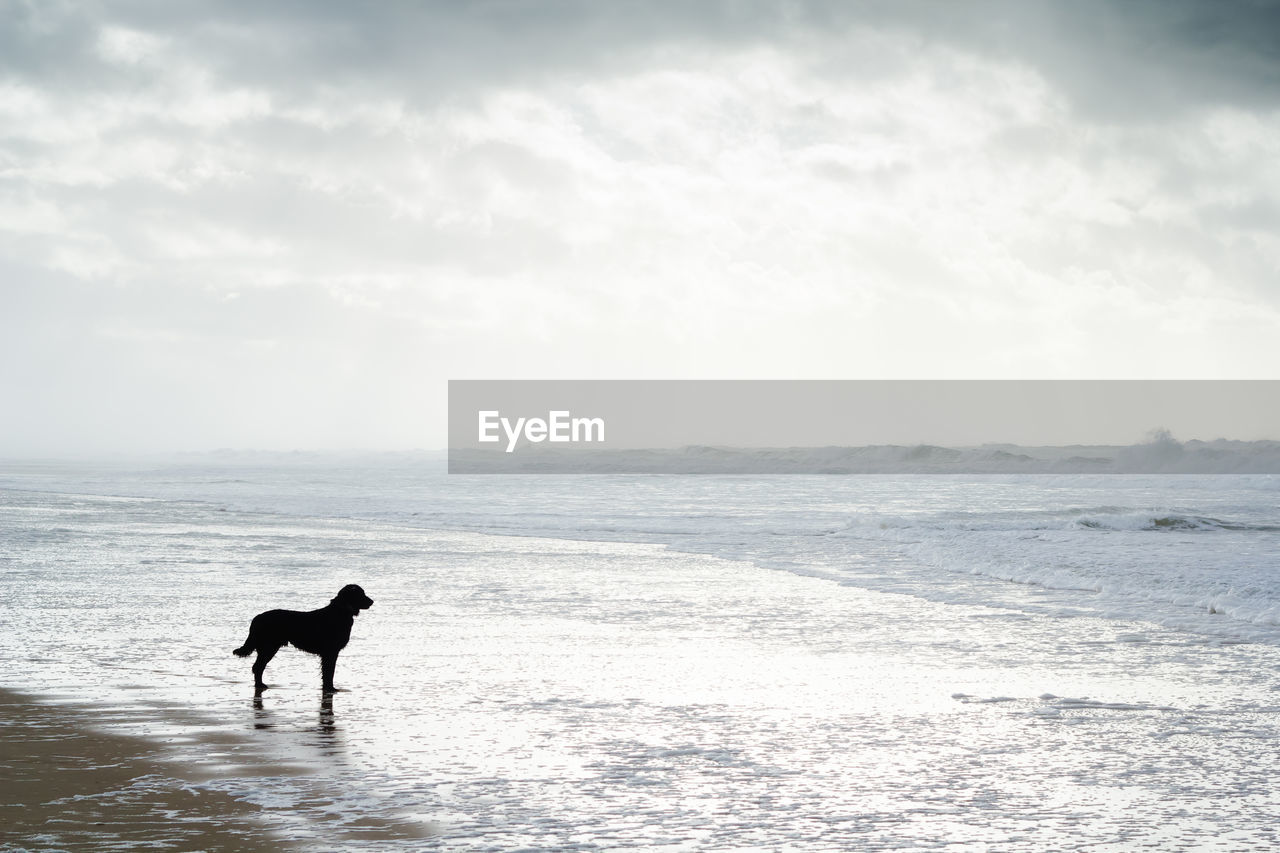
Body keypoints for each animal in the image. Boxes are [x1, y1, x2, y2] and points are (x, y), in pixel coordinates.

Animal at [232, 581, 373, 696]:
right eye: (361, 594)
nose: (372, 601)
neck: (340, 612)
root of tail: (257, 618)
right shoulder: (330, 652)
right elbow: (329, 672)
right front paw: (330, 688)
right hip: (268, 647)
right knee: (257, 667)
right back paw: (260, 685)